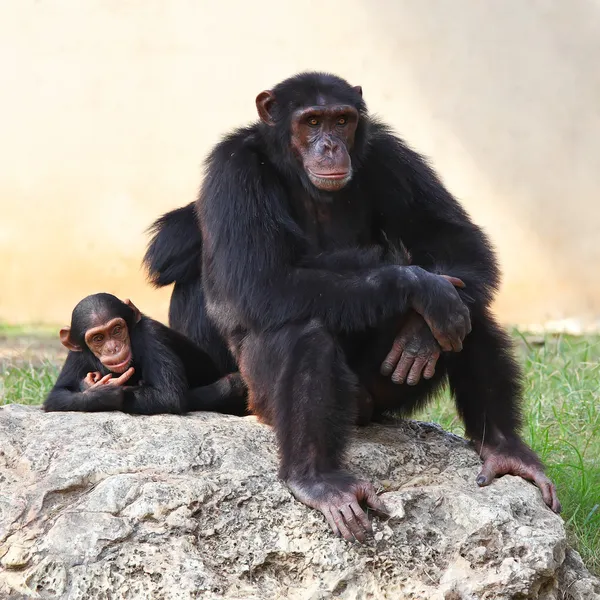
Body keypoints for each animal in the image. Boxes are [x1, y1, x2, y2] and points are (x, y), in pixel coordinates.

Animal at [43, 292, 247, 414]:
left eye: (117, 329)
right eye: (98, 338)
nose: (113, 348)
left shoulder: (152, 335)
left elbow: (168, 396)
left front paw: (103, 389)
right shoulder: (76, 354)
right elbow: (57, 395)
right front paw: (99, 392)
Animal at [152, 71, 560, 544]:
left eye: (342, 120)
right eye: (311, 122)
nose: (330, 145)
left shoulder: (390, 155)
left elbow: (454, 239)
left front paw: (421, 332)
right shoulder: (232, 171)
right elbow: (264, 280)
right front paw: (420, 285)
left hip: (381, 396)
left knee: (470, 314)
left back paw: (505, 450)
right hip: (258, 397)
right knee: (303, 333)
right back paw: (315, 479)